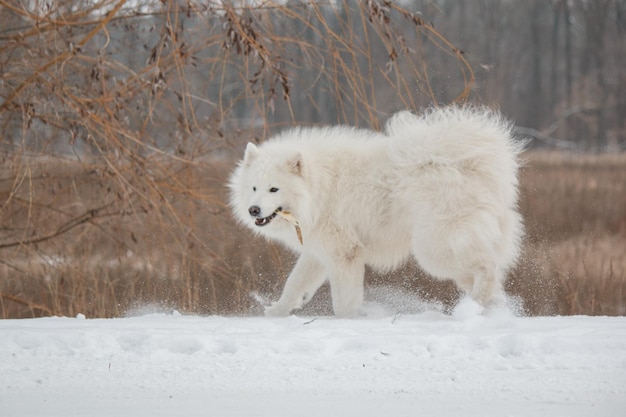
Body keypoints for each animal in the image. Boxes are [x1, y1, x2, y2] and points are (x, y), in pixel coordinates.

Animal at [228, 105, 520, 316]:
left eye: (274, 189)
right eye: (254, 188)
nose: (254, 210)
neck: (319, 187)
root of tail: (471, 165)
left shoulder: (343, 254)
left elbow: (343, 301)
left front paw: (350, 321)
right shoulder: (318, 251)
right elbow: (294, 284)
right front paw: (275, 312)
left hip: (434, 249)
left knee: (488, 266)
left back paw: (478, 302)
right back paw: (488, 308)